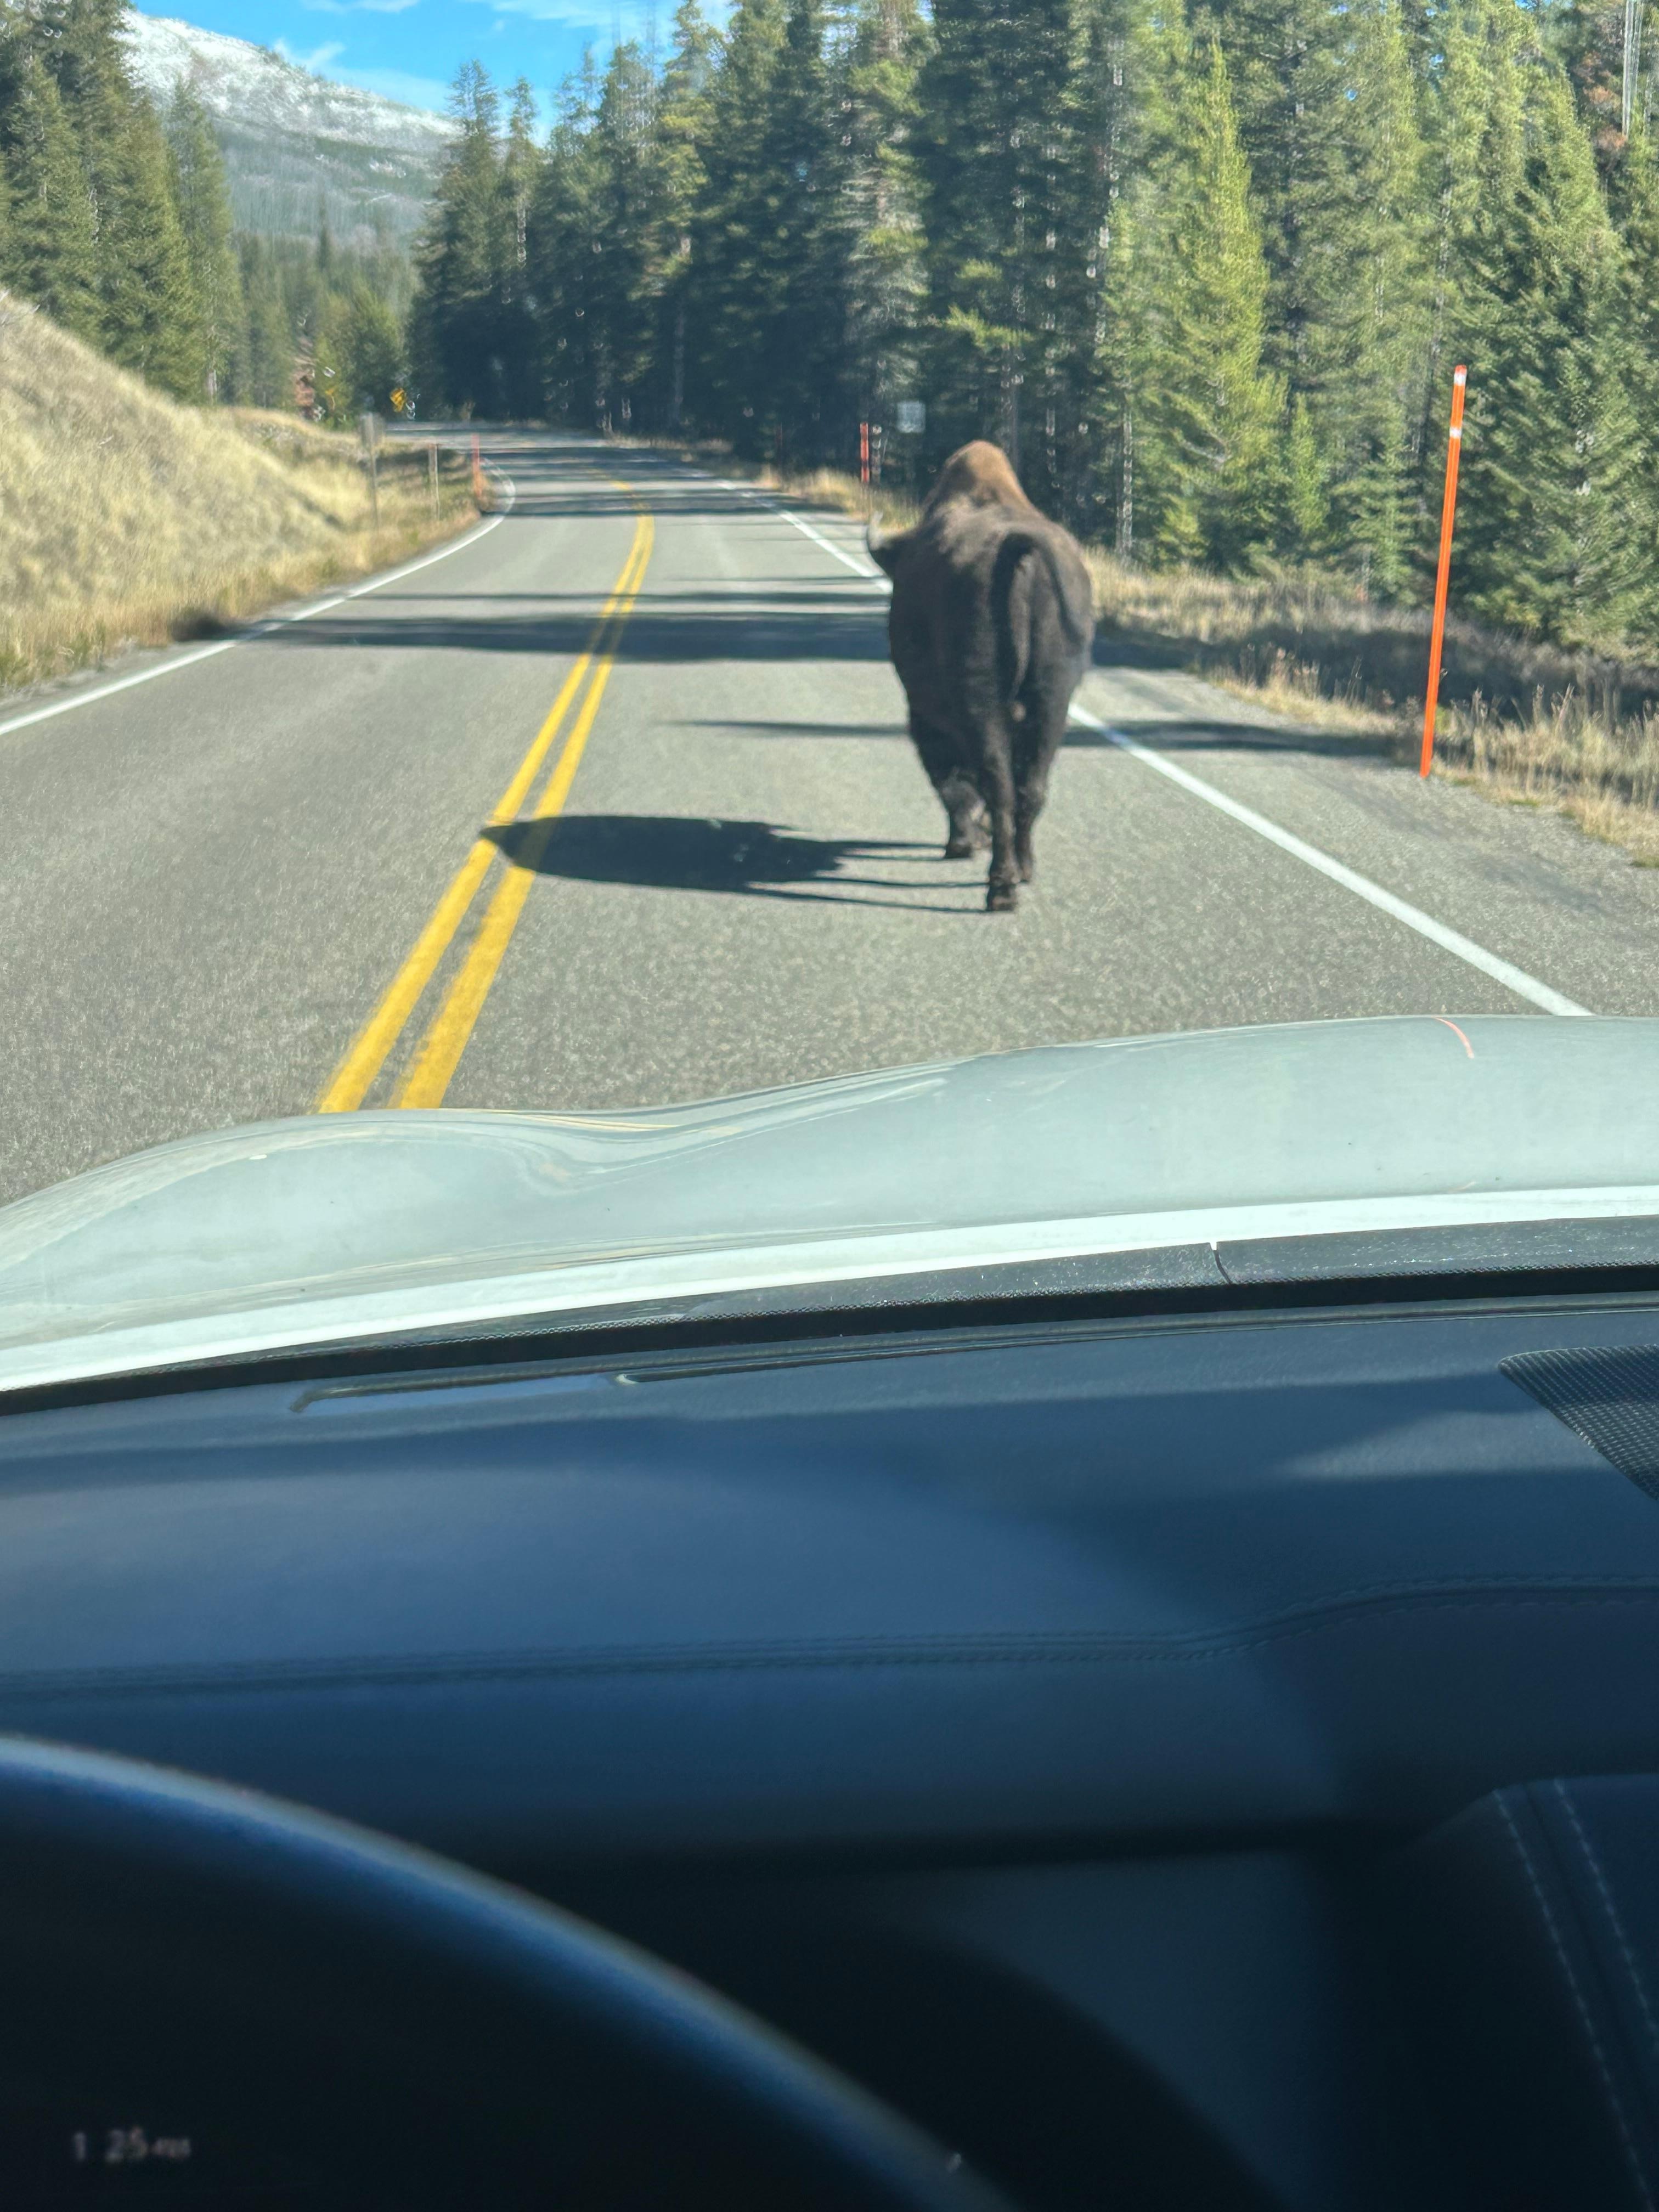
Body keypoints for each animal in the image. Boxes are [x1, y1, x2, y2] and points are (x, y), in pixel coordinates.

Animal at [867, 441, 1094, 912]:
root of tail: (1018, 551)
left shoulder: (926, 716)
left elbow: (950, 778)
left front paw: (962, 843)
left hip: (982, 708)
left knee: (997, 785)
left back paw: (1000, 888)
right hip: (1053, 705)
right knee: (1030, 789)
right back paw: (1024, 870)